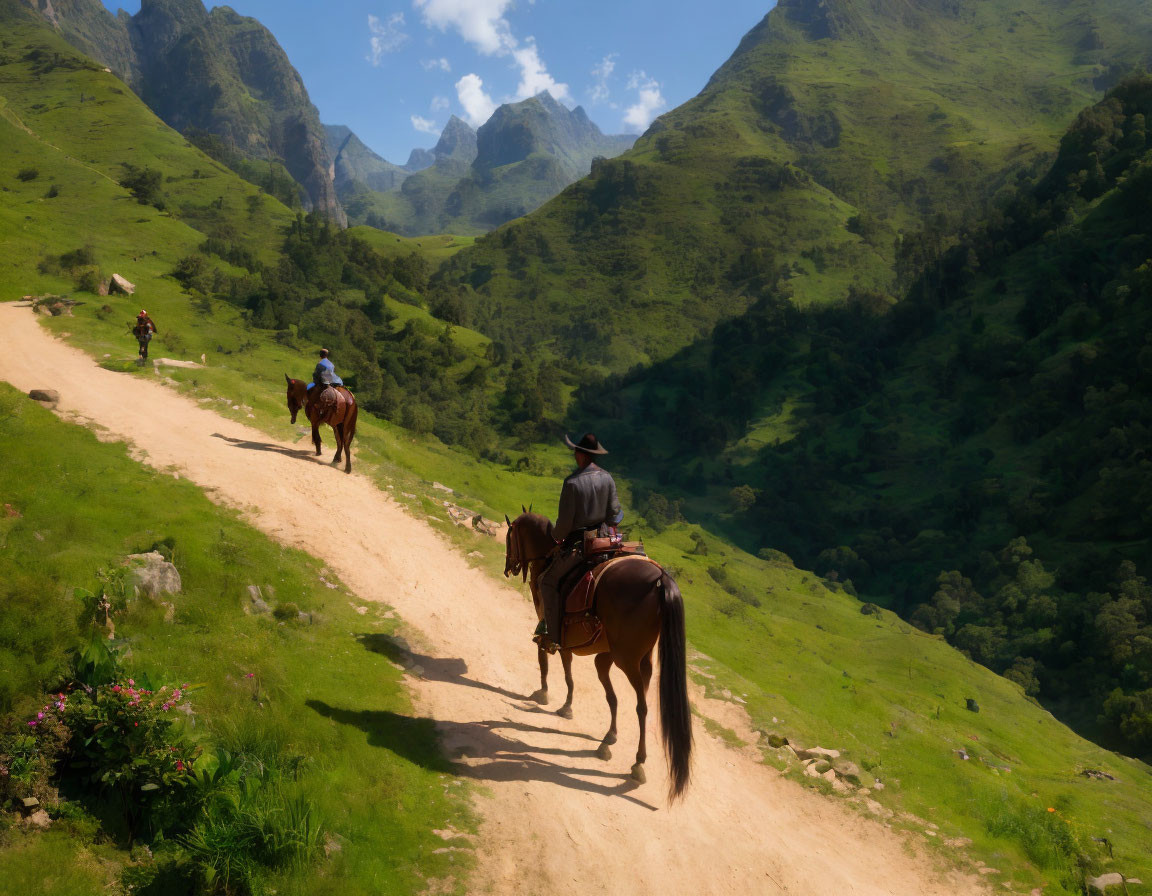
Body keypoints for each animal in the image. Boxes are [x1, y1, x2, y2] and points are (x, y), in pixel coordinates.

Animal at [504, 509, 691, 796]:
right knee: (626, 696)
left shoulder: (549, 625)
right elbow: (591, 684)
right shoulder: (593, 648)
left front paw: (547, 694)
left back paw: (638, 763)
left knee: (641, 707)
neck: (548, 557)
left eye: (509, 537)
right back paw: (608, 742)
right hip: (641, 660)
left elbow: (552, 663)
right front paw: (571, 708)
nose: (508, 566)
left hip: (627, 660)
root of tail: (660, 579)